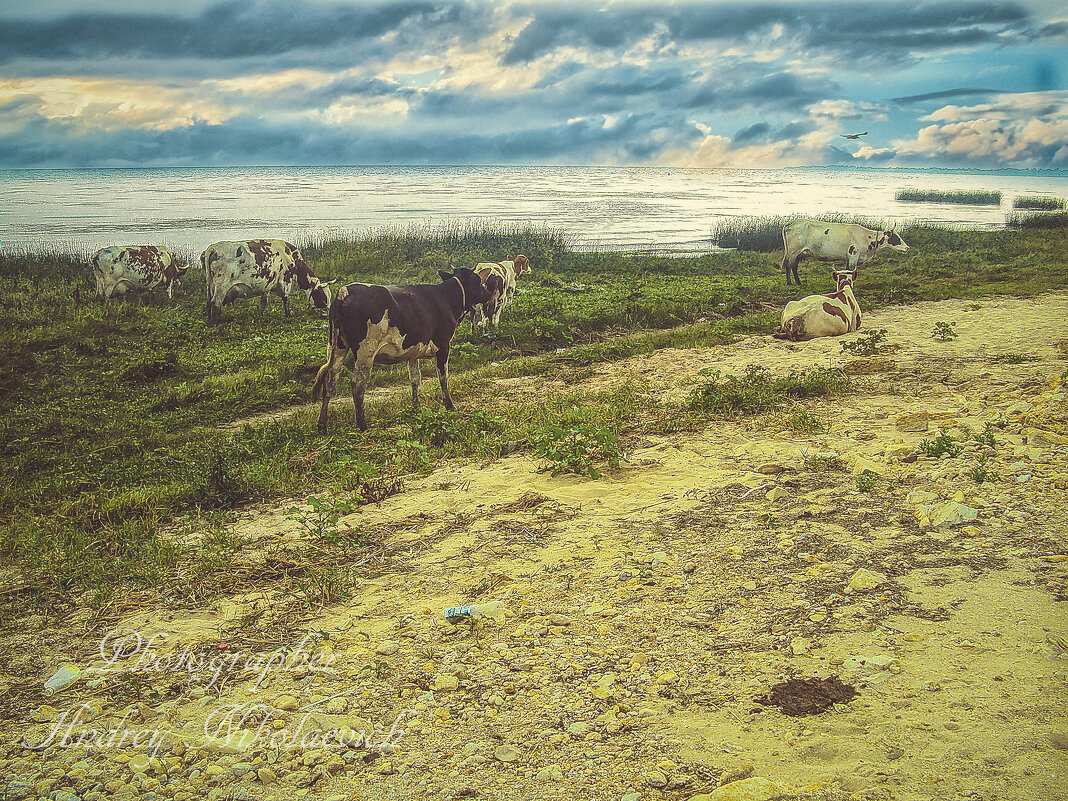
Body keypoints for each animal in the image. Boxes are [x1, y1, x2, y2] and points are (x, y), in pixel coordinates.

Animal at [201, 238, 331, 326]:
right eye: (323, 297)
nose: (327, 315)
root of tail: (212, 248)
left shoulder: (267, 285)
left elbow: (264, 302)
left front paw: (261, 315)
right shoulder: (285, 280)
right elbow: (286, 299)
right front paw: (288, 316)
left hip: (210, 285)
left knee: (208, 302)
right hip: (221, 287)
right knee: (215, 303)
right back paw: (215, 323)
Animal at [309, 268, 491, 433]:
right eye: (477, 279)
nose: (488, 292)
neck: (447, 299)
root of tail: (345, 291)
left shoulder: (413, 350)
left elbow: (415, 378)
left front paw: (416, 406)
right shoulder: (444, 345)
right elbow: (443, 376)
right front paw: (449, 405)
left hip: (337, 347)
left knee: (330, 379)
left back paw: (322, 425)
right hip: (365, 350)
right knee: (357, 383)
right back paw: (362, 424)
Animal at [777, 220, 909, 286]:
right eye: (896, 238)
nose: (907, 248)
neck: (867, 238)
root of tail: (791, 222)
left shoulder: (848, 257)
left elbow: (846, 270)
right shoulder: (853, 254)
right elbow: (851, 270)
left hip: (798, 253)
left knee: (794, 266)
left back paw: (798, 282)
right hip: (793, 251)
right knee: (790, 266)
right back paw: (790, 283)